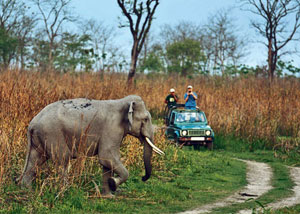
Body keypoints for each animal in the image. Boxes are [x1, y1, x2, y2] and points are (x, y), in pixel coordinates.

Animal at [17, 95, 164, 197]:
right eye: (146, 119)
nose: (143, 178)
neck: (122, 101)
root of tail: (32, 123)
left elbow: (107, 162)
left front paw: (108, 196)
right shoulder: (112, 128)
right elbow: (106, 156)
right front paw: (113, 184)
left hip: (40, 137)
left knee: (35, 160)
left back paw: (26, 190)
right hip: (52, 133)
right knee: (63, 159)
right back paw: (65, 191)